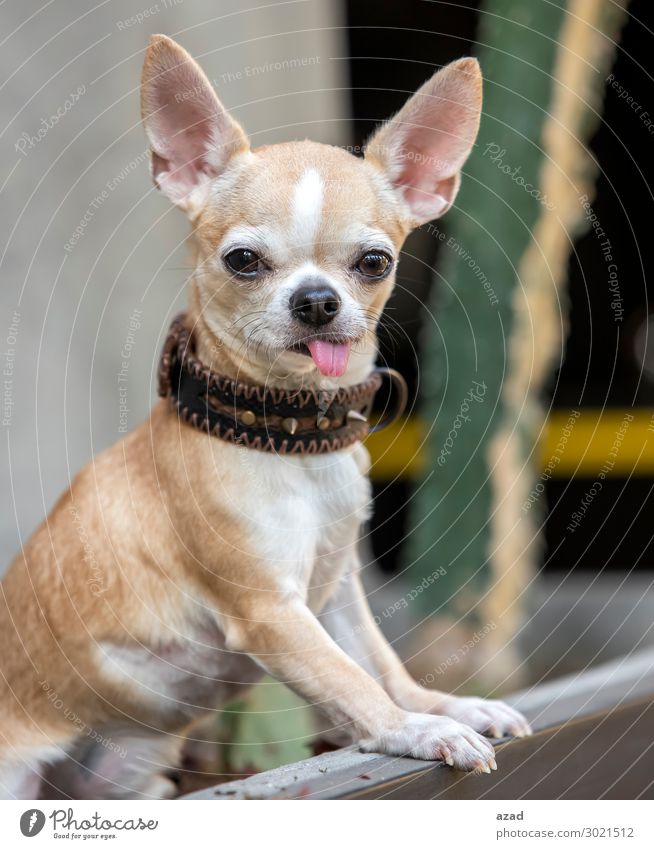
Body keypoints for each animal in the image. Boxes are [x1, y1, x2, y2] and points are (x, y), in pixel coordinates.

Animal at [0, 34, 532, 800]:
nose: (316, 300)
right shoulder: (273, 613)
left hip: (128, 776)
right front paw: (416, 728)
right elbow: (350, 681)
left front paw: (444, 705)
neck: (292, 439)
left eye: (375, 262)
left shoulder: (336, 594)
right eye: (243, 260)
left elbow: (379, 663)